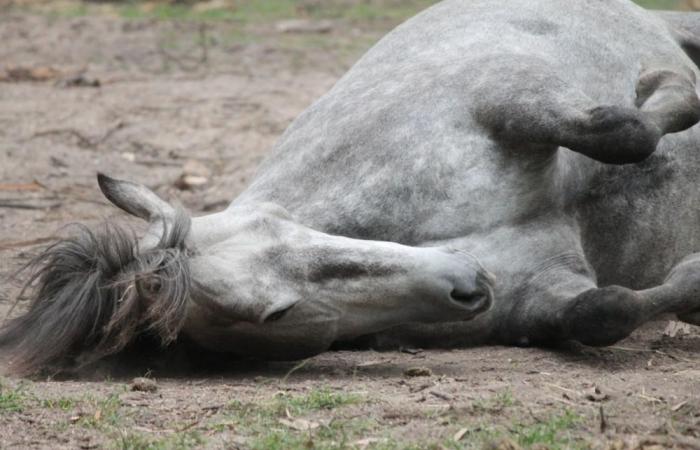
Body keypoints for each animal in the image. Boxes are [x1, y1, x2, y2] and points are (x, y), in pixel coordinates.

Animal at [4, 0, 700, 374]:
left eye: (276, 229)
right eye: (277, 315)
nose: (466, 283)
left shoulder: (507, 99)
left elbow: (630, 131)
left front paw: (665, 88)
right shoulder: (545, 294)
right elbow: (605, 311)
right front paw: (692, 283)